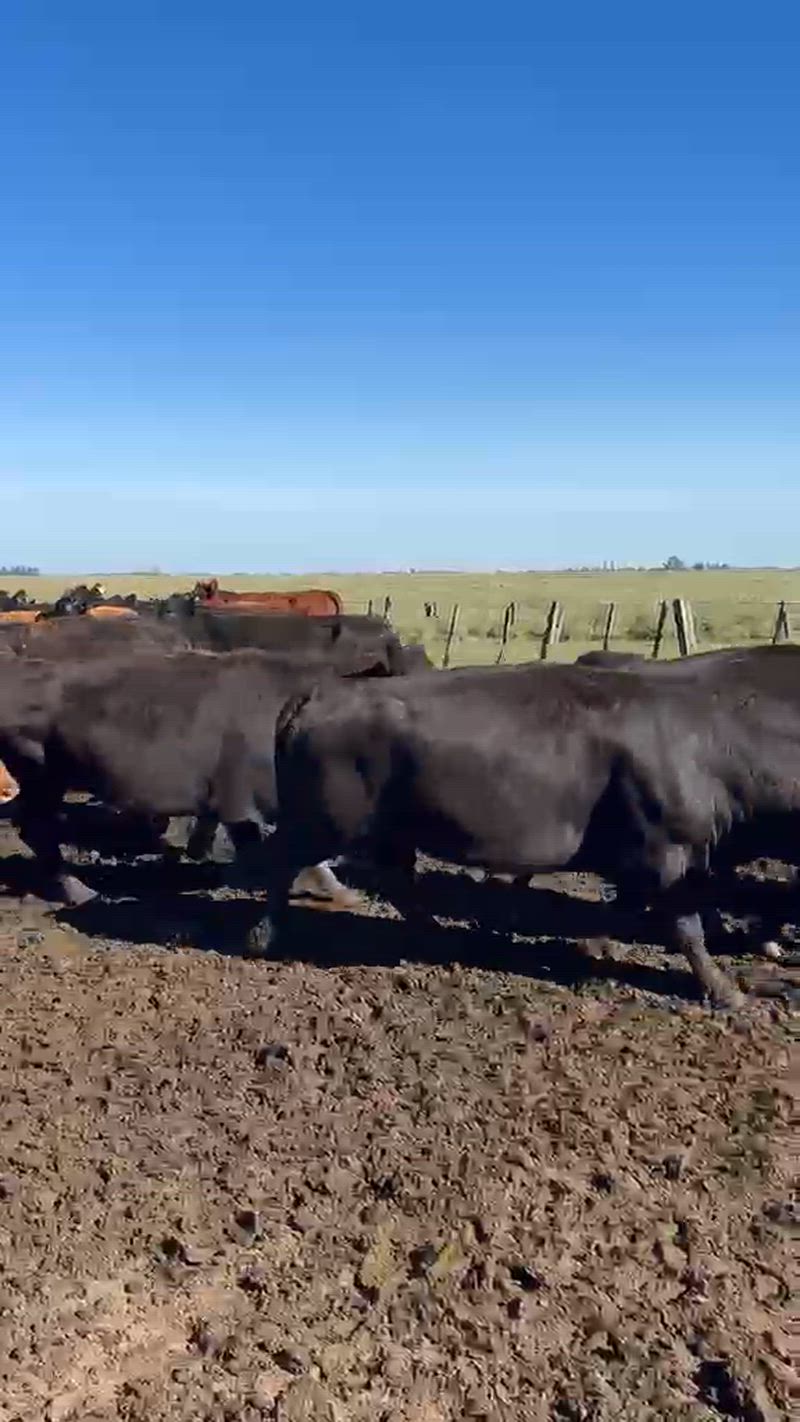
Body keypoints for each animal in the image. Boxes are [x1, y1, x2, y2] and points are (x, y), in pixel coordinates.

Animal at [256, 647, 800, 1011]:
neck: (711, 744)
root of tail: (324, 691)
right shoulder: (669, 851)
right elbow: (686, 927)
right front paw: (725, 990)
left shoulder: (646, 857)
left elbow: (624, 910)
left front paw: (589, 951)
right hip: (324, 821)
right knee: (279, 859)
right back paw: (264, 935)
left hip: (388, 827)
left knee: (399, 881)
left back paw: (438, 938)